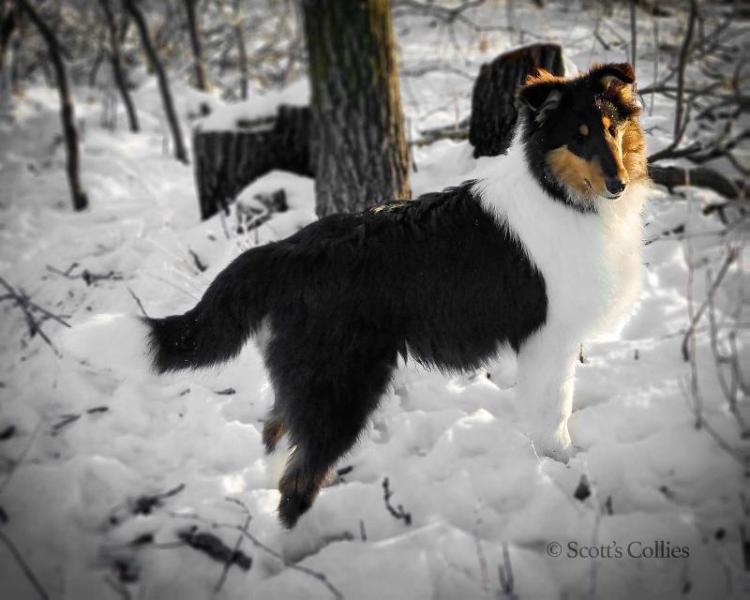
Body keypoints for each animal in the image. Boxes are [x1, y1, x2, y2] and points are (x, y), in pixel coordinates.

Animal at [147, 63, 652, 528]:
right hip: (341, 387)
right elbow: (554, 416)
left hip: (306, 382)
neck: (557, 193)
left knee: (276, 436)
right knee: (297, 481)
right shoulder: (550, 341)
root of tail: (284, 249)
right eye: (578, 138)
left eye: (612, 128)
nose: (619, 185)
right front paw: (565, 468)